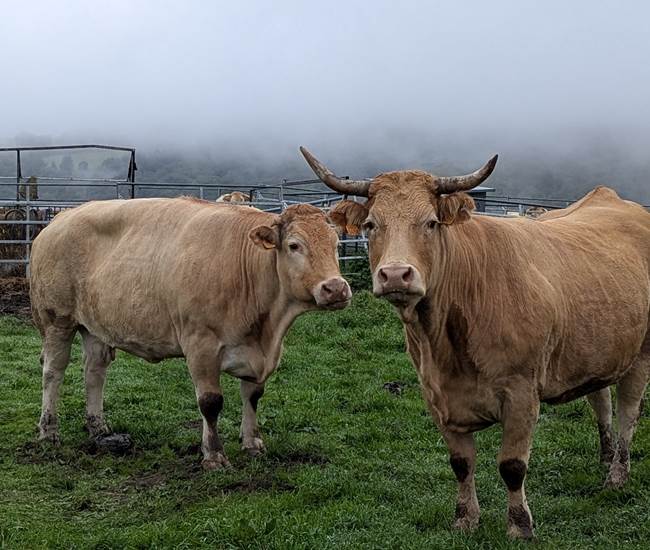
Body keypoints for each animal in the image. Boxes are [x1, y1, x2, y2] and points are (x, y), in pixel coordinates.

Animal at [30, 198, 352, 469]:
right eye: (295, 246)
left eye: (336, 243)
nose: (336, 288)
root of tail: (60, 218)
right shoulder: (200, 344)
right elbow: (210, 402)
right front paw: (214, 455)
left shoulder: (261, 352)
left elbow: (253, 395)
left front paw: (252, 442)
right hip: (57, 319)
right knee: (53, 372)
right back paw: (48, 431)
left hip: (96, 326)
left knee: (94, 371)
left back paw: (98, 427)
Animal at [300, 146, 650, 539]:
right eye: (371, 225)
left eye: (431, 223)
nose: (395, 275)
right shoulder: (436, 395)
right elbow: (461, 463)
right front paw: (466, 519)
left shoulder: (521, 394)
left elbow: (512, 466)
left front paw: (519, 526)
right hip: (595, 350)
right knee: (600, 401)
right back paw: (605, 460)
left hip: (641, 354)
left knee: (628, 412)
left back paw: (617, 474)